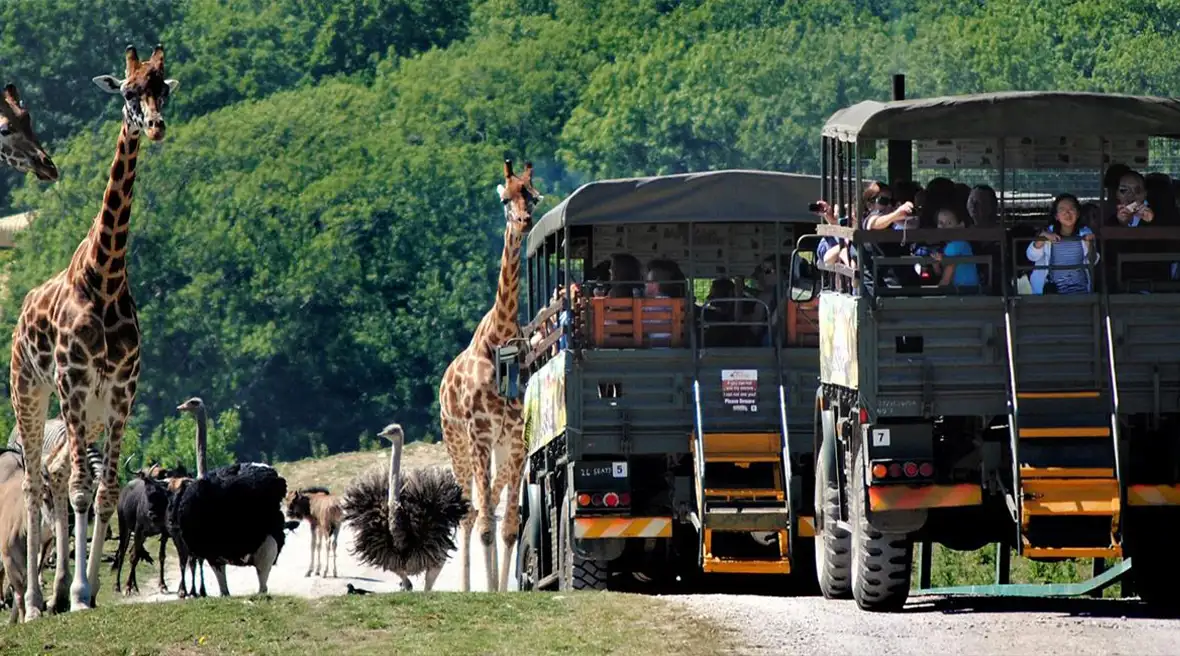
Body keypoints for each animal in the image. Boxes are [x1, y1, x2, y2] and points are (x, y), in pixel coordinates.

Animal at [9, 43, 176, 618]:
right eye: (127, 92)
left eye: (162, 88)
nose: (155, 126)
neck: (104, 277)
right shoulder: (75, 382)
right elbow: (82, 488)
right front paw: (80, 594)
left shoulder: (122, 389)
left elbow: (104, 491)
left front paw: (88, 587)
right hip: (33, 394)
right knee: (37, 482)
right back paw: (36, 601)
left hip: (90, 410)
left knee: (59, 477)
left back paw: (59, 588)